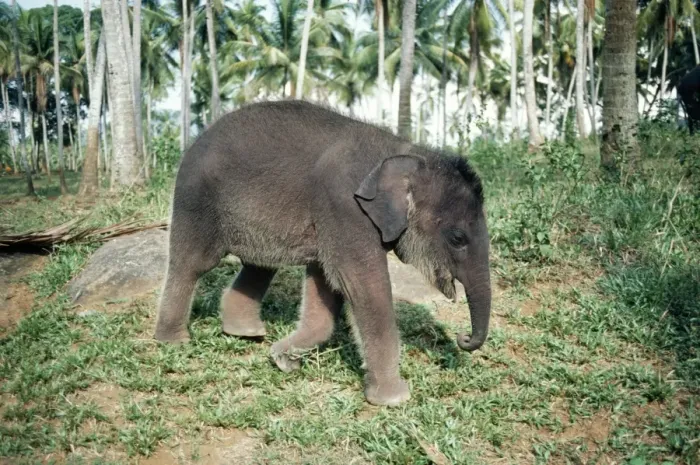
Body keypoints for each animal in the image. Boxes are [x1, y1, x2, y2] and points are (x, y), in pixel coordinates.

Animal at [154, 100, 492, 407]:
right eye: (457, 238)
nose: (463, 338)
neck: (405, 151)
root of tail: (197, 138)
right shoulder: (344, 206)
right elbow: (362, 285)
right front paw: (394, 399)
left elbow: (326, 284)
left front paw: (282, 359)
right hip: (196, 199)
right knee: (192, 264)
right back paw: (174, 341)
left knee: (259, 266)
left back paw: (246, 334)